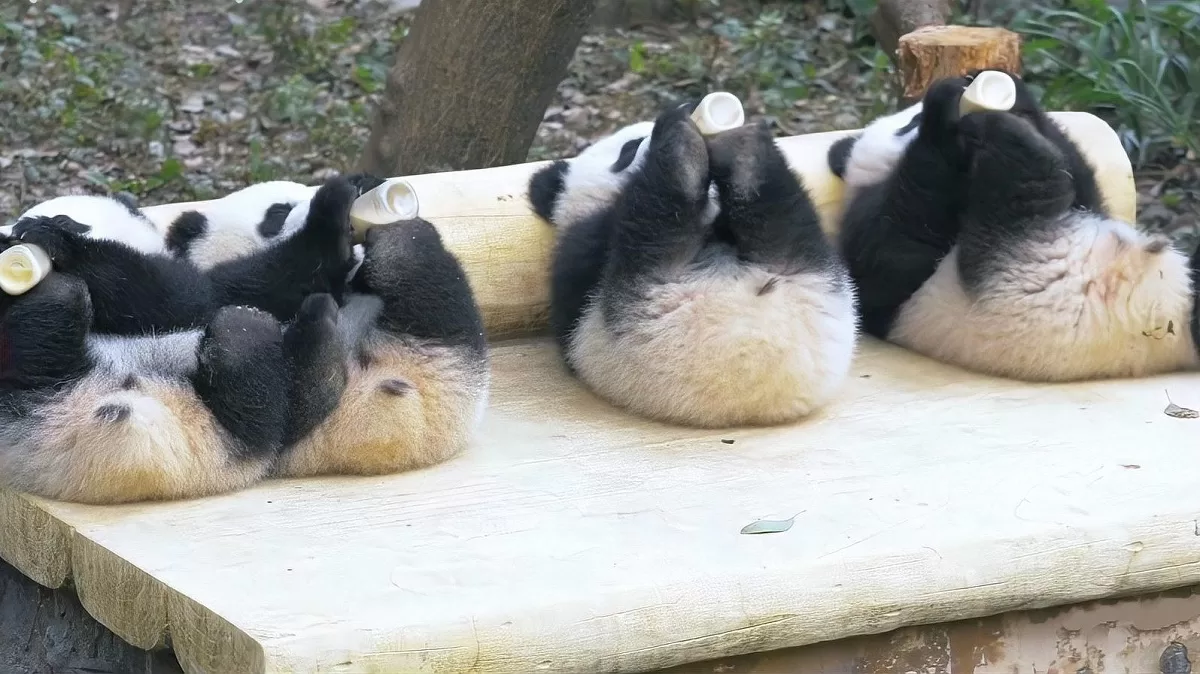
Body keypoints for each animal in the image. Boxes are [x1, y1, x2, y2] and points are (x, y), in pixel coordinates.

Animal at [528, 101, 858, 428]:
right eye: (628, 148)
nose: (691, 105)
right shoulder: (580, 250)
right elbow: (576, 277)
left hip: (814, 270)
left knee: (781, 215)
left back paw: (741, 149)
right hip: (647, 304)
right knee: (658, 216)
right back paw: (687, 150)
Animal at [831, 69, 1199, 381]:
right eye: (909, 124)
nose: (920, 114)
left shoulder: (1089, 201)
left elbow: (1082, 182)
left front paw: (1012, 94)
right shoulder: (871, 238)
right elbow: (892, 251)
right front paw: (945, 113)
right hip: (1004, 263)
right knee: (1019, 195)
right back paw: (1014, 146)